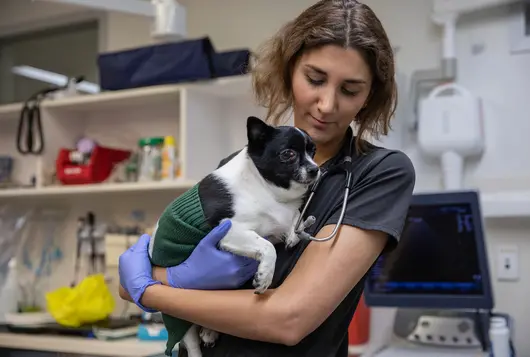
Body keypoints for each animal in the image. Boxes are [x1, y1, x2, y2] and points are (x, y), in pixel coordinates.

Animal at [182, 117, 318, 356]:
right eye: (288, 154)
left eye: (313, 151)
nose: (315, 169)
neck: (265, 188)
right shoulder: (230, 231)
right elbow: (268, 248)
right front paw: (264, 276)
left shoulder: (273, 226)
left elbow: (288, 223)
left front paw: (296, 232)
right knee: (191, 343)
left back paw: (209, 331)